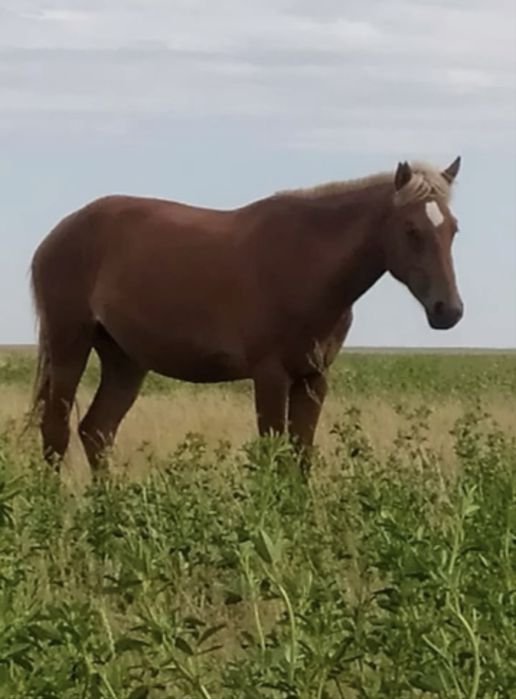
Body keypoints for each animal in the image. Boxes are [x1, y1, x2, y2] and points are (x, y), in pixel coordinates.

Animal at [30, 156, 463, 474]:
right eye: (411, 229)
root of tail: (55, 236)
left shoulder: (313, 379)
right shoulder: (270, 376)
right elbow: (273, 455)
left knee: (97, 432)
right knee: (55, 432)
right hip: (70, 347)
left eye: (453, 229)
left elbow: (300, 457)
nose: (449, 311)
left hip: (125, 359)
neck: (306, 262)